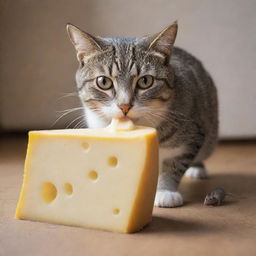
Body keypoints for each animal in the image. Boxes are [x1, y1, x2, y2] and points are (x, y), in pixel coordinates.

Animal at [66, 21, 218, 207]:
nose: (125, 106)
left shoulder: (192, 135)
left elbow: (175, 165)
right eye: (103, 82)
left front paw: (166, 191)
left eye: (145, 81)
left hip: (209, 132)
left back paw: (197, 169)